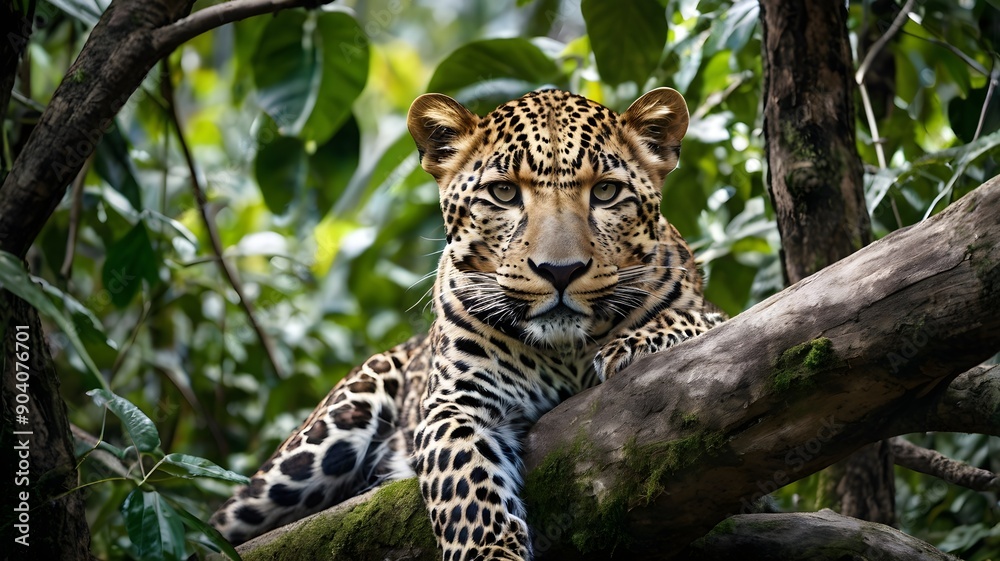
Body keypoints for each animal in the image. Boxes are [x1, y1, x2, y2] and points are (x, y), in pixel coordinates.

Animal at [211, 85, 724, 556]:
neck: (568, 350)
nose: (560, 271)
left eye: (605, 191)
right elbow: (466, 489)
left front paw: (630, 346)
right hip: (320, 438)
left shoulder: (713, 314)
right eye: (504, 193)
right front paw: (491, 553)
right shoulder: (455, 404)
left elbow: (693, 319)